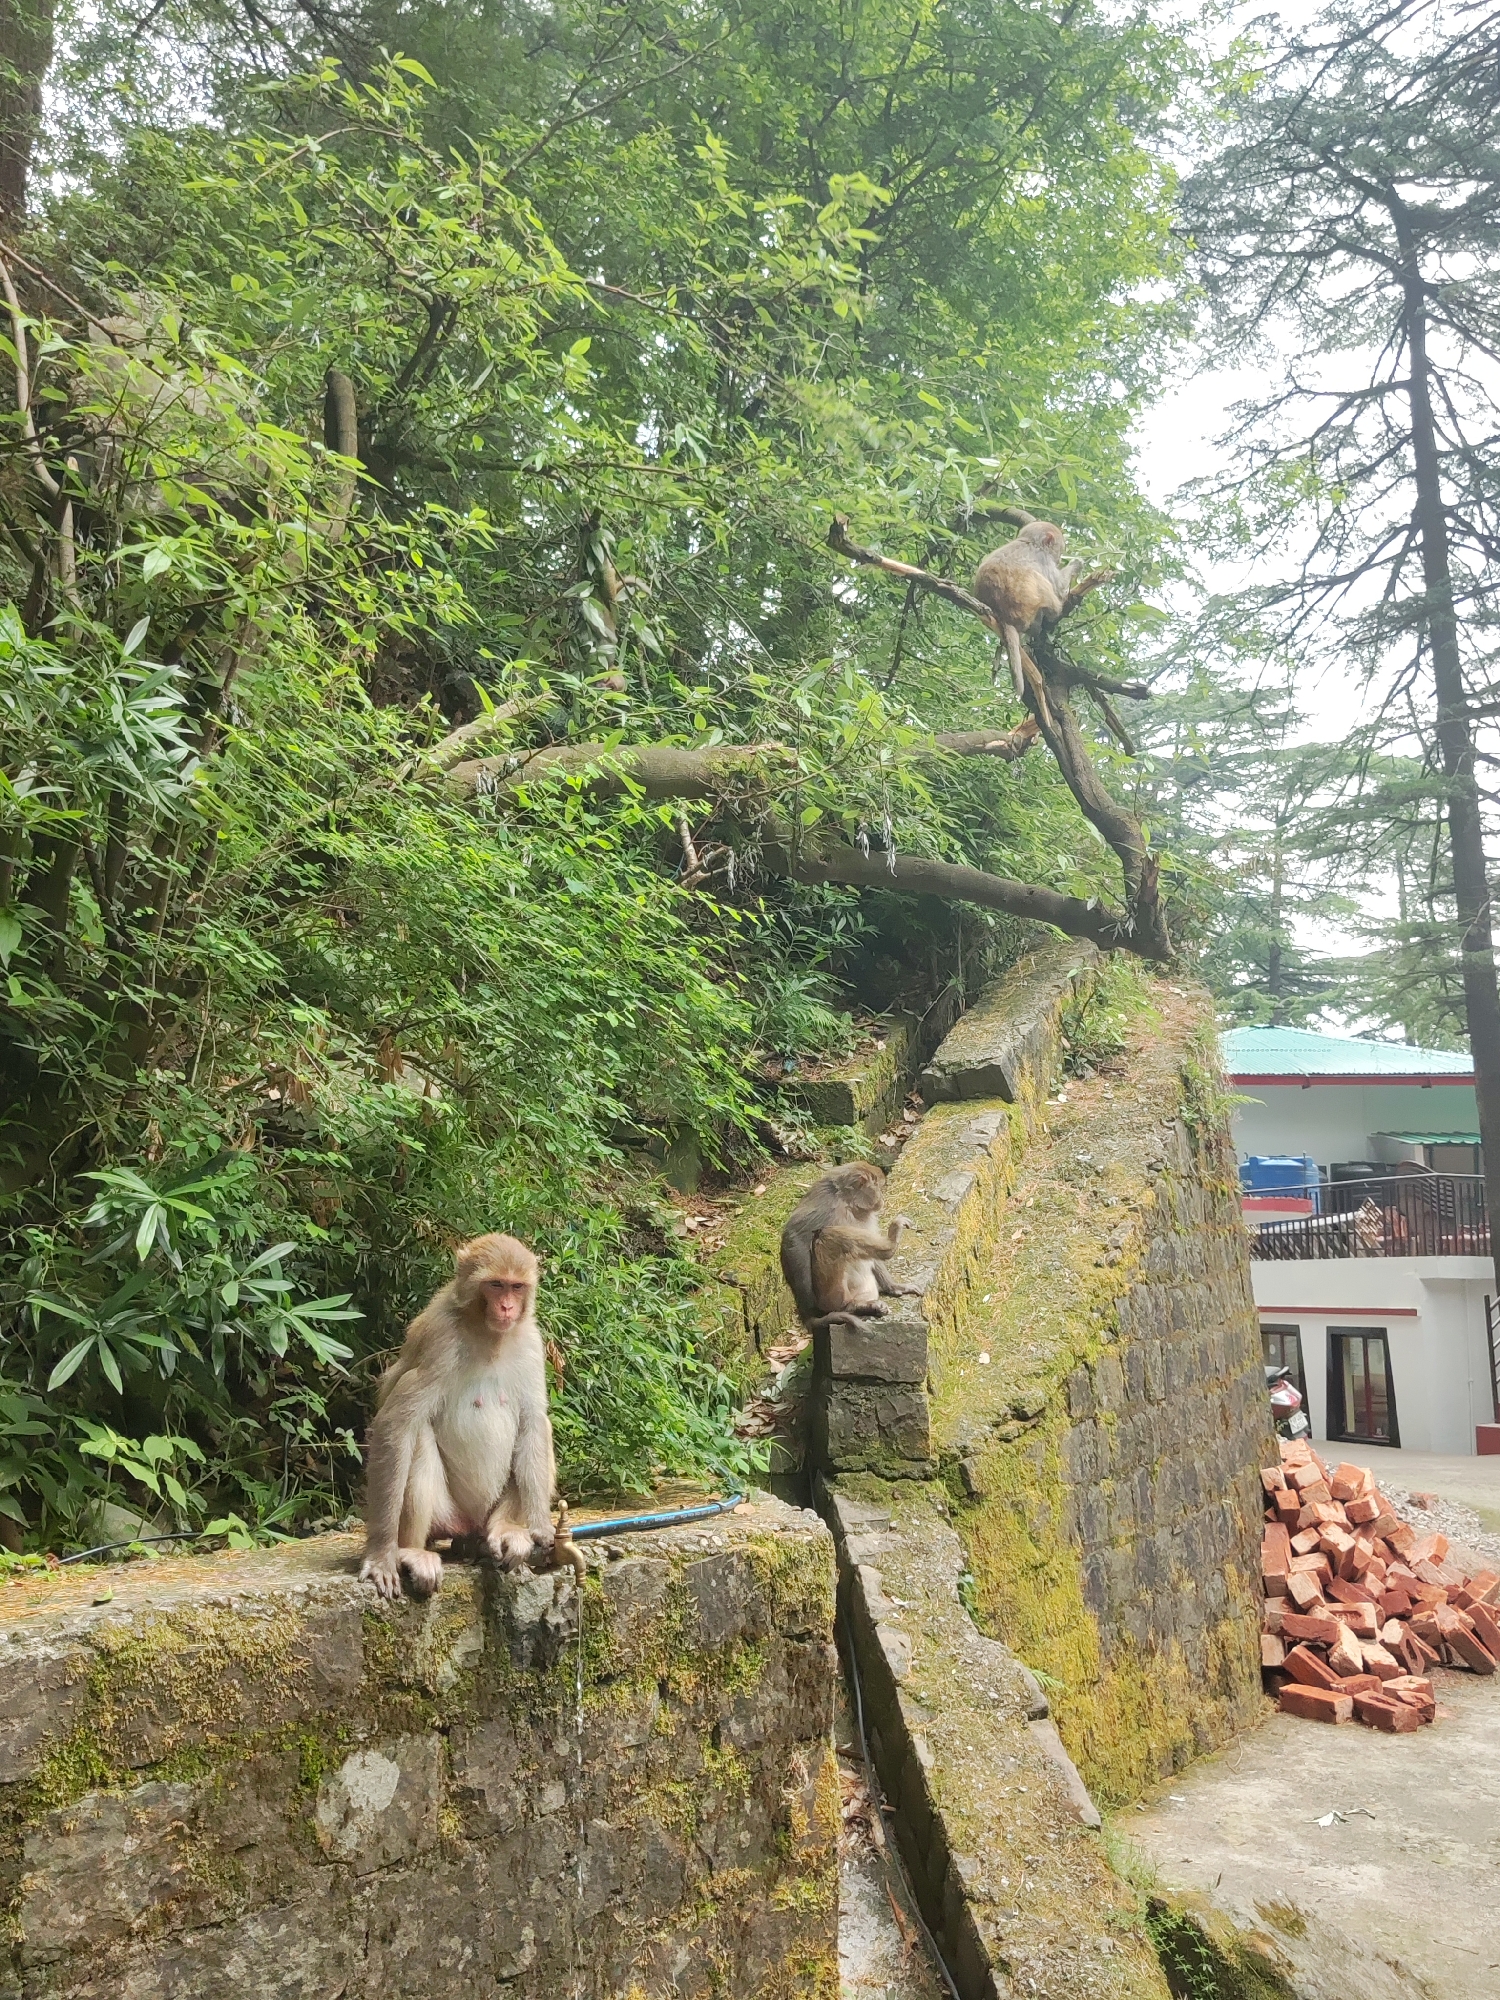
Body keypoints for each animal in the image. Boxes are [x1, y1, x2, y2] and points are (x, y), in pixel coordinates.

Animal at [359, 1232, 557, 1600]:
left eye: (517, 1287)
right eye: (495, 1285)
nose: (507, 1307)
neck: (488, 1332)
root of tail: (469, 1528)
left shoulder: (531, 1340)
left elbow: (533, 1422)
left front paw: (540, 1526)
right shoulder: (441, 1339)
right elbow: (396, 1422)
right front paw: (381, 1555)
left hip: (485, 1519)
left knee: (538, 1430)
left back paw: (507, 1529)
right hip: (445, 1516)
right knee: (417, 1435)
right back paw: (411, 1551)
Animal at [779, 1162, 920, 1332]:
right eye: (879, 1187)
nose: (882, 1198)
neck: (850, 1204)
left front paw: (893, 1286)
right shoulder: (828, 1204)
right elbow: (794, 1234)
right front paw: (809, 1309)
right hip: (832, 1294)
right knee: (828, 1236)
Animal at [972, 521, 1083, 699]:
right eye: (1059, 550)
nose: (1059, 559)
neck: (1031, 542)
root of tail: (1002, 614)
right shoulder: (1044, 560)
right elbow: (1058, 588)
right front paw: (1077, 564)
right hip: (1025, 606)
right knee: (1040, 581)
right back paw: (1054, 613)